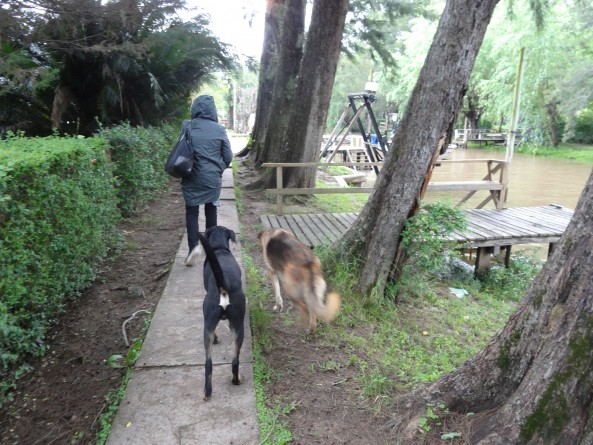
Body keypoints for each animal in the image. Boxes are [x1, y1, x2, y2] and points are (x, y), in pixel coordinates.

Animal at [197, 225, 245, 398]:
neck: (219, 249)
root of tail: (224, 286)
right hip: (237, 324)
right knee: (222, 361)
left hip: (221, 323)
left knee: (221, 362)